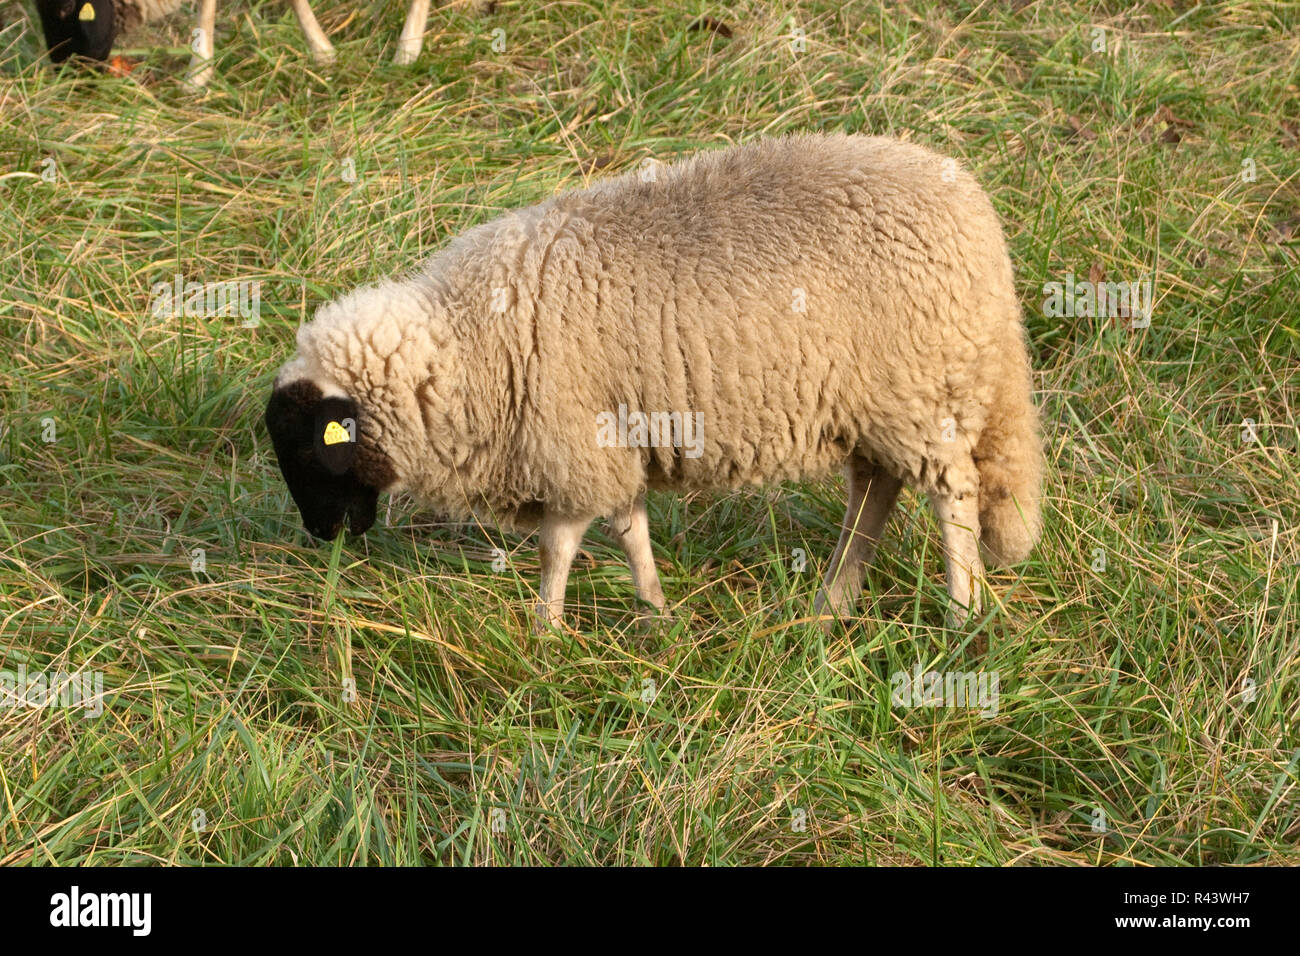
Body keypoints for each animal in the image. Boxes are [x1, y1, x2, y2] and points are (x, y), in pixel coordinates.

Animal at [263, 132, 1045, 629]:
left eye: (314, 450)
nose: (325, 536)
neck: (467, 345)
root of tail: (973, 208)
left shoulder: (573, 444)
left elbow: (560, 544)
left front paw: (546, 631)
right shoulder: (612, 440)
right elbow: (629, 527)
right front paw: (655, 614)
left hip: (921, 395)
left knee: (954, 496)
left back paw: (962, 612)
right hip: (878, 407)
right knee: (875, 491)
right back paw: (832, 603)